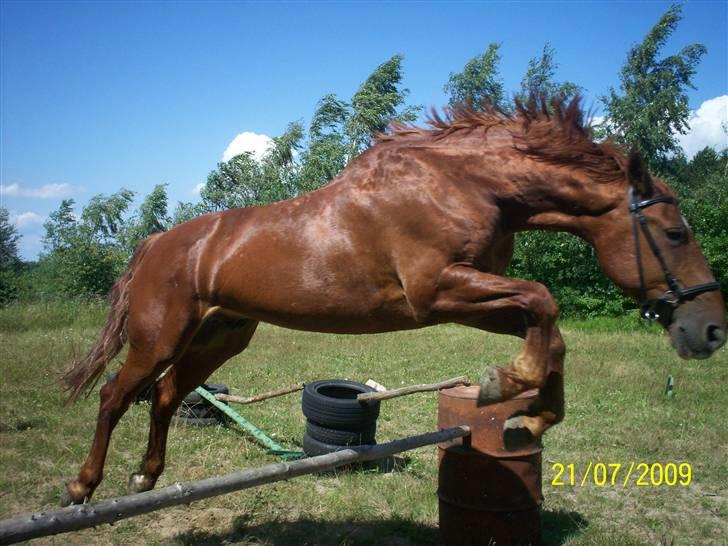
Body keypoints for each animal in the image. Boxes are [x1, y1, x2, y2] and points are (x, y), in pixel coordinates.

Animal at [59, 95, 724, 504]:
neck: (468, 184)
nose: (710, 331)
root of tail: (157, 243)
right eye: (675, 233)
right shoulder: (438, 291)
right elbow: (545, 300)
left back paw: (146, 477)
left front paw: (524, 413)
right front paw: (507, 389)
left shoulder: (470, 300)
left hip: (218, 338)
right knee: (116, 395)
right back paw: (83, 487)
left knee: (166, 396)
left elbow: (547, 326)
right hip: (160, 336)